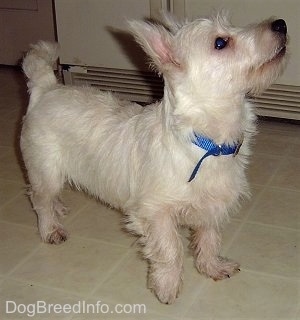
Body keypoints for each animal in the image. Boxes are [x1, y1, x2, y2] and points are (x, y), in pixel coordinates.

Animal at [19, 11, 288, 302]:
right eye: (220, 43)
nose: (281, 24)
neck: (206, 142)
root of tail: (47, 88)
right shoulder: (156, 213)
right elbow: (170, 249)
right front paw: (167, 286)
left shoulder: (212, 206)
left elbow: (209, 239)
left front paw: (212, 267)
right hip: (45, 169)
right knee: (40, 199)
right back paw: (51, 229)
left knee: (46, 197)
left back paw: (58, 210)